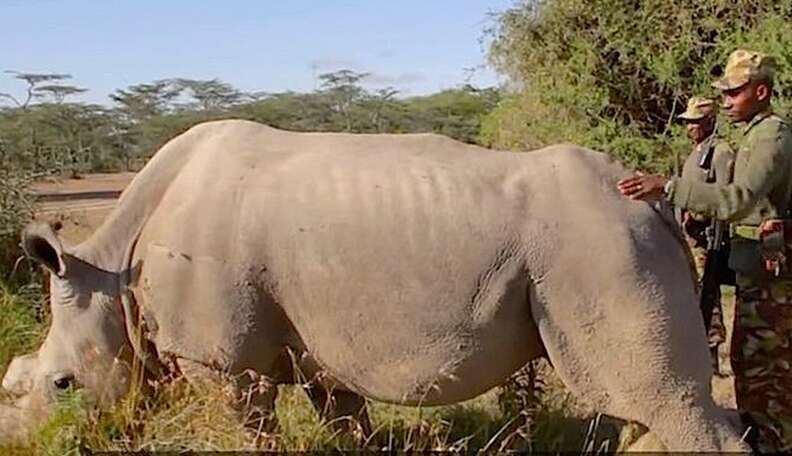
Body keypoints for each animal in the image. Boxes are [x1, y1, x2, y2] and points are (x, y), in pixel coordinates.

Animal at [0, 120, 747, 451]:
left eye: (61, 384)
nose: (29, 444)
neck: (113, 269)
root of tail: (654, 198)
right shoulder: (320, 351)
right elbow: (347, 426)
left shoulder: (222, 361)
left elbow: (255, 431)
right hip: (604, 243)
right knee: (643, 406)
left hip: (602, 244)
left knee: (661, 399)